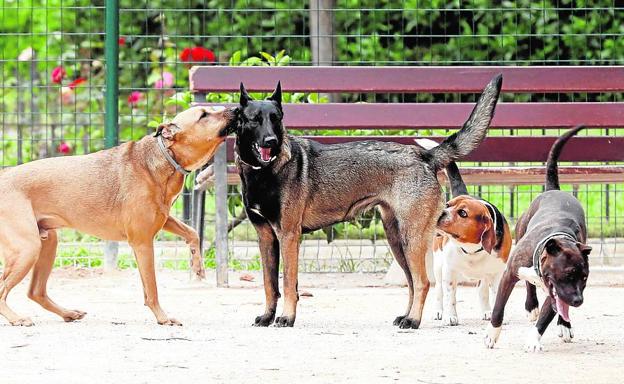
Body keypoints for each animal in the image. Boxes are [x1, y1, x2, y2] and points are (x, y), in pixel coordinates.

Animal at [0, 106, 234, 328]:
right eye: (203, 115)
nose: (235, 109)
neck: (160, 158)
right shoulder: (142, 243)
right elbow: (152, 289)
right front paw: (162, 317)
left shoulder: (163, 219)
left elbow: (192, 233)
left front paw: (197, 264)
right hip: (28, 248)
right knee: (4, 290)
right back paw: (16, 318)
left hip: (47, 243)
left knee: (35, 292)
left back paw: (68, 313)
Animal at [234, 77, 502, 328]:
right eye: (255, 119)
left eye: (276, 118)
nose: (271, 141)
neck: (265, 172)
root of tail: (425, 156)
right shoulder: (266, 238)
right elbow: (270, 285)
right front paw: (267, 317)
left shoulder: (289, 236)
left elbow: (289, 283)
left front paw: (286, 317)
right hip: (397, 241)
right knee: (412, 284)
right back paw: (406, 316)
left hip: (411, 239)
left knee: (422, 282)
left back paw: (413, 321)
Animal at [486, 126, 592, 352]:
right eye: (568, 275)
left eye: (584, 278)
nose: (578, 300)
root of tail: (554, 189)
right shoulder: (509, 273)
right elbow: (498, 308)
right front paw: (492, 333)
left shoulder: (554, 293)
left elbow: (546, 316)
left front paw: (534, 340)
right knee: (529, 285)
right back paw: (531, 305)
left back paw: (565, 325)